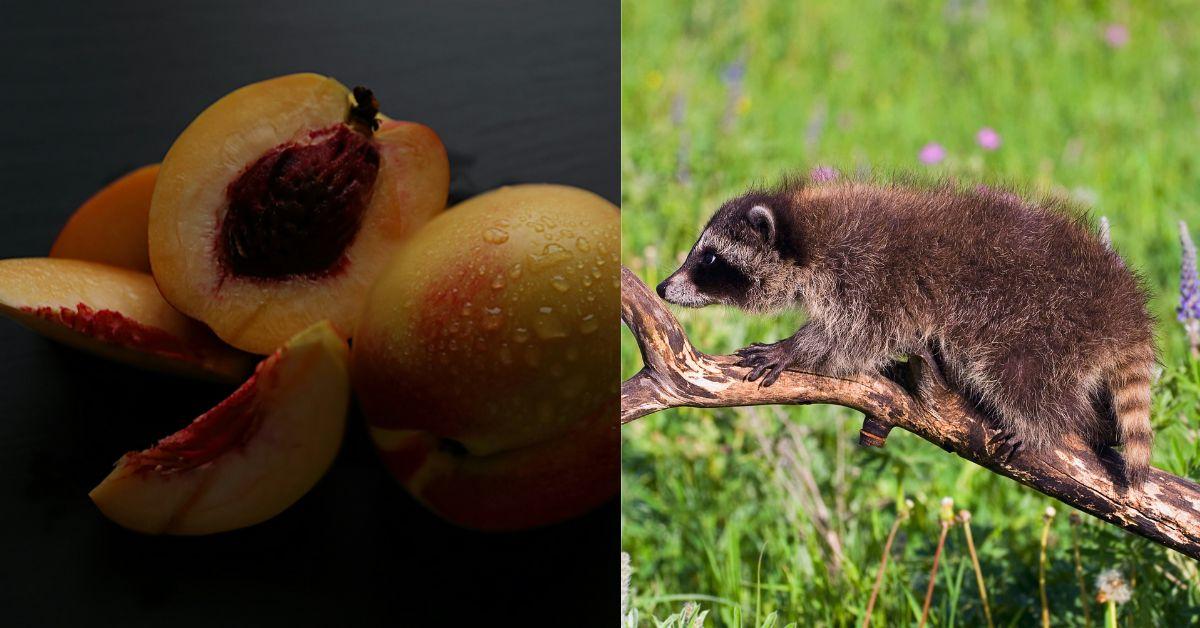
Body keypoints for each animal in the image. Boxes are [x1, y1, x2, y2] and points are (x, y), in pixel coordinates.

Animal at [657, 177, 1156, 486]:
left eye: (710, 258)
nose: (662, 286)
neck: (809, 234)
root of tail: (1124, 307)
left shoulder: (872, 276)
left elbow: (858, 336)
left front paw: (794, 348)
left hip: (1044, 325)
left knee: (1022, 378)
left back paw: (1048, 425)